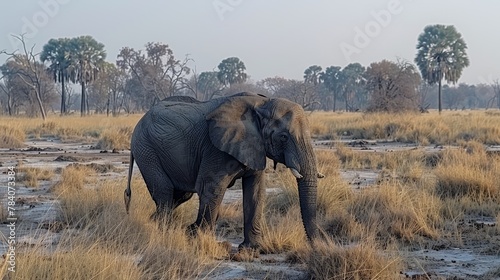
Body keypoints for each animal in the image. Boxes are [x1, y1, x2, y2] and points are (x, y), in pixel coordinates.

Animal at [125, 92, 320, 249]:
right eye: (284, 137)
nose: (317, 245)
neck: (262, 104)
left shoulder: (254, 146)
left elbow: (255, 192)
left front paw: (252, 248)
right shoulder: (216, 149)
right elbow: (212, 189)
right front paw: (202, 241)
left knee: (179, 195)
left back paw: (156, 223)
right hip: (146, 150)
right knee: (165, 193)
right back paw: (164, 232)